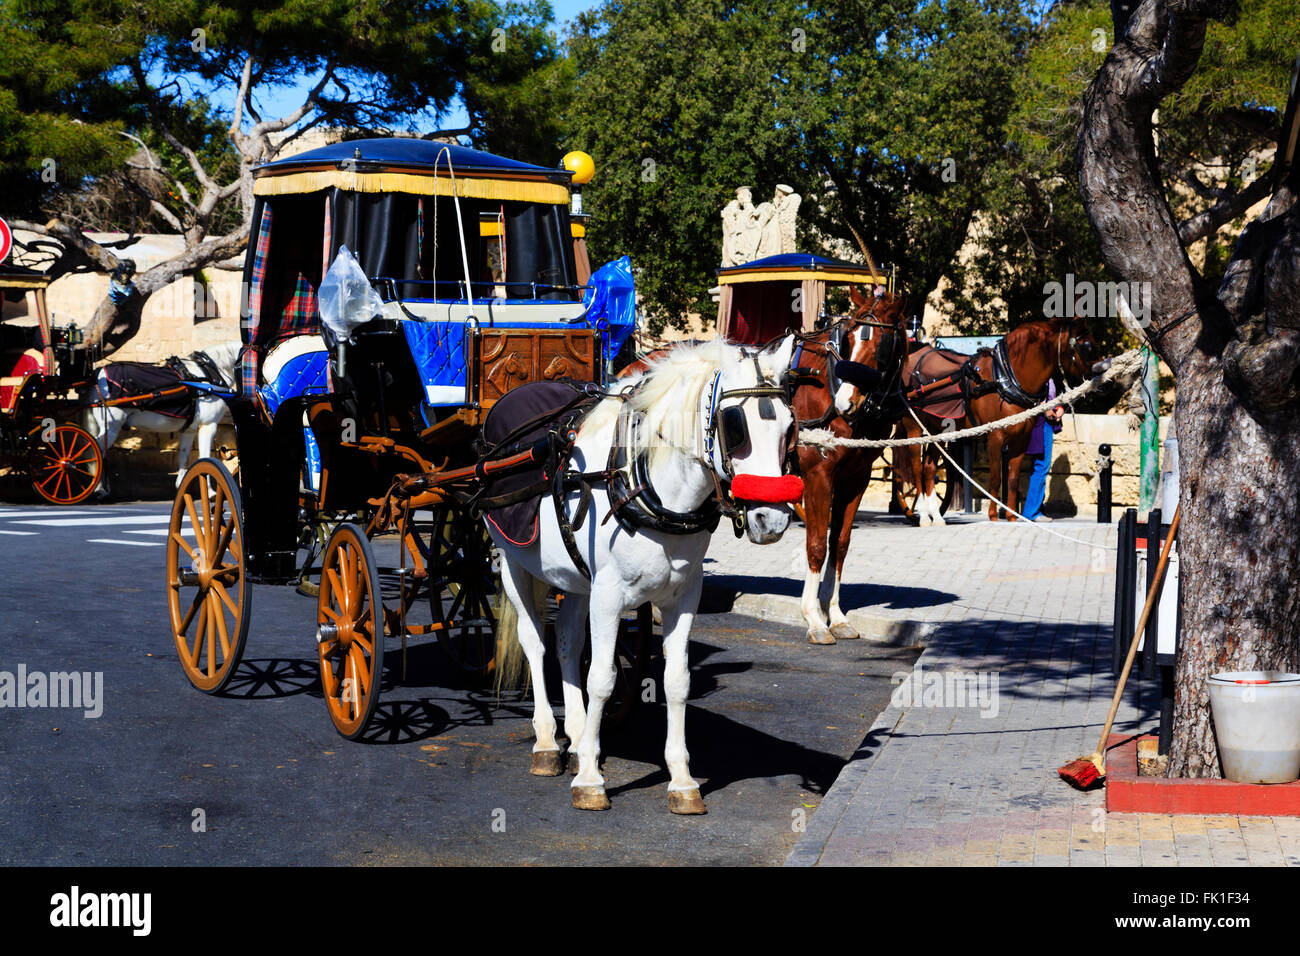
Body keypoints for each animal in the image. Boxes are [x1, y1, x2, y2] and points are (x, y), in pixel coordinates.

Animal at [82, 341, 241, 495]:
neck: (208, 373)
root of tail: (97, 375)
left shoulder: (189, 430)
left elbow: (184, 457)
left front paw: (182, 487)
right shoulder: (209, 425)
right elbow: (205, 458)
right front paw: (209, 492)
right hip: (111, 427)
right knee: (93, 451)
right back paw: (97, 488)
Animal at [490, 336, 802, 814]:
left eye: (789, 426)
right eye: (735, 427)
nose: (772, 520)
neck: (646, 483)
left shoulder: (683, 596)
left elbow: (676, 681)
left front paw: (682, 780)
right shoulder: (608, 596)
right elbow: (602, 679)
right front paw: (589, 779)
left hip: (575, 578)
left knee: (567, 643)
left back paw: (577, 734)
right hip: (513, 561)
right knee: (534, 642)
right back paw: (546, 741)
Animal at [792, 288, 908, 645]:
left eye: (881, 345)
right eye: (851, 338)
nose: (846, 402)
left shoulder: (855, 478)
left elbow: (839, 544)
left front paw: (836, 615)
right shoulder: (817, 476)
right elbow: (816, 545)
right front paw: (814, 618)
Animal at [894, 318, 1099, 523]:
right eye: (1088, 346)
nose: (1102, 377)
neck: (1005, 378)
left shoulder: (1021, 441)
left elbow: (1013, 479)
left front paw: (1011, 516)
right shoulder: (995, 437)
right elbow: (995, 478)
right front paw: (993, 516)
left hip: (936, 430)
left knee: (928, 469)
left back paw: (936, 517)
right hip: (914, 427)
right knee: (917, 469)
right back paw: (923, 517)